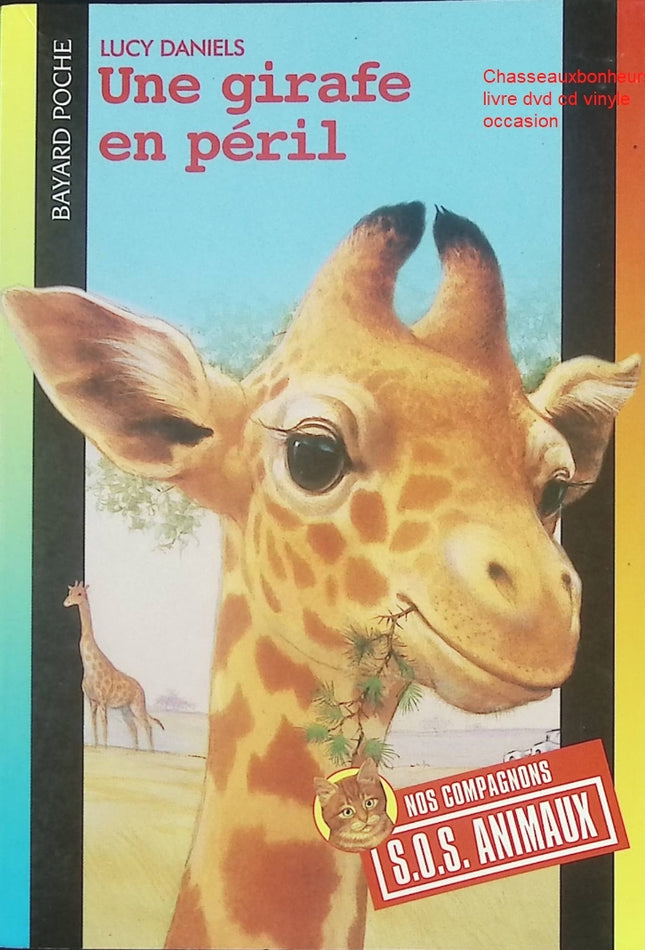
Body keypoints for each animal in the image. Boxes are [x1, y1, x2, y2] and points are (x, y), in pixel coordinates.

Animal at [63, 580, 164, 750]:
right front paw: (96, 746)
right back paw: (136, 750)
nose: (66, 602)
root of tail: (142, 689)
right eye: (70, 592)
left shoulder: (102, 700)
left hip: (137, 706)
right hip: (126, 710)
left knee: (147, 726)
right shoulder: (92, 701)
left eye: (79, 594)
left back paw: (151, 752)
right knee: (134, 729)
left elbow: (105, 727)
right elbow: (94, 726)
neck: (89, 667)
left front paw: (104, 748)